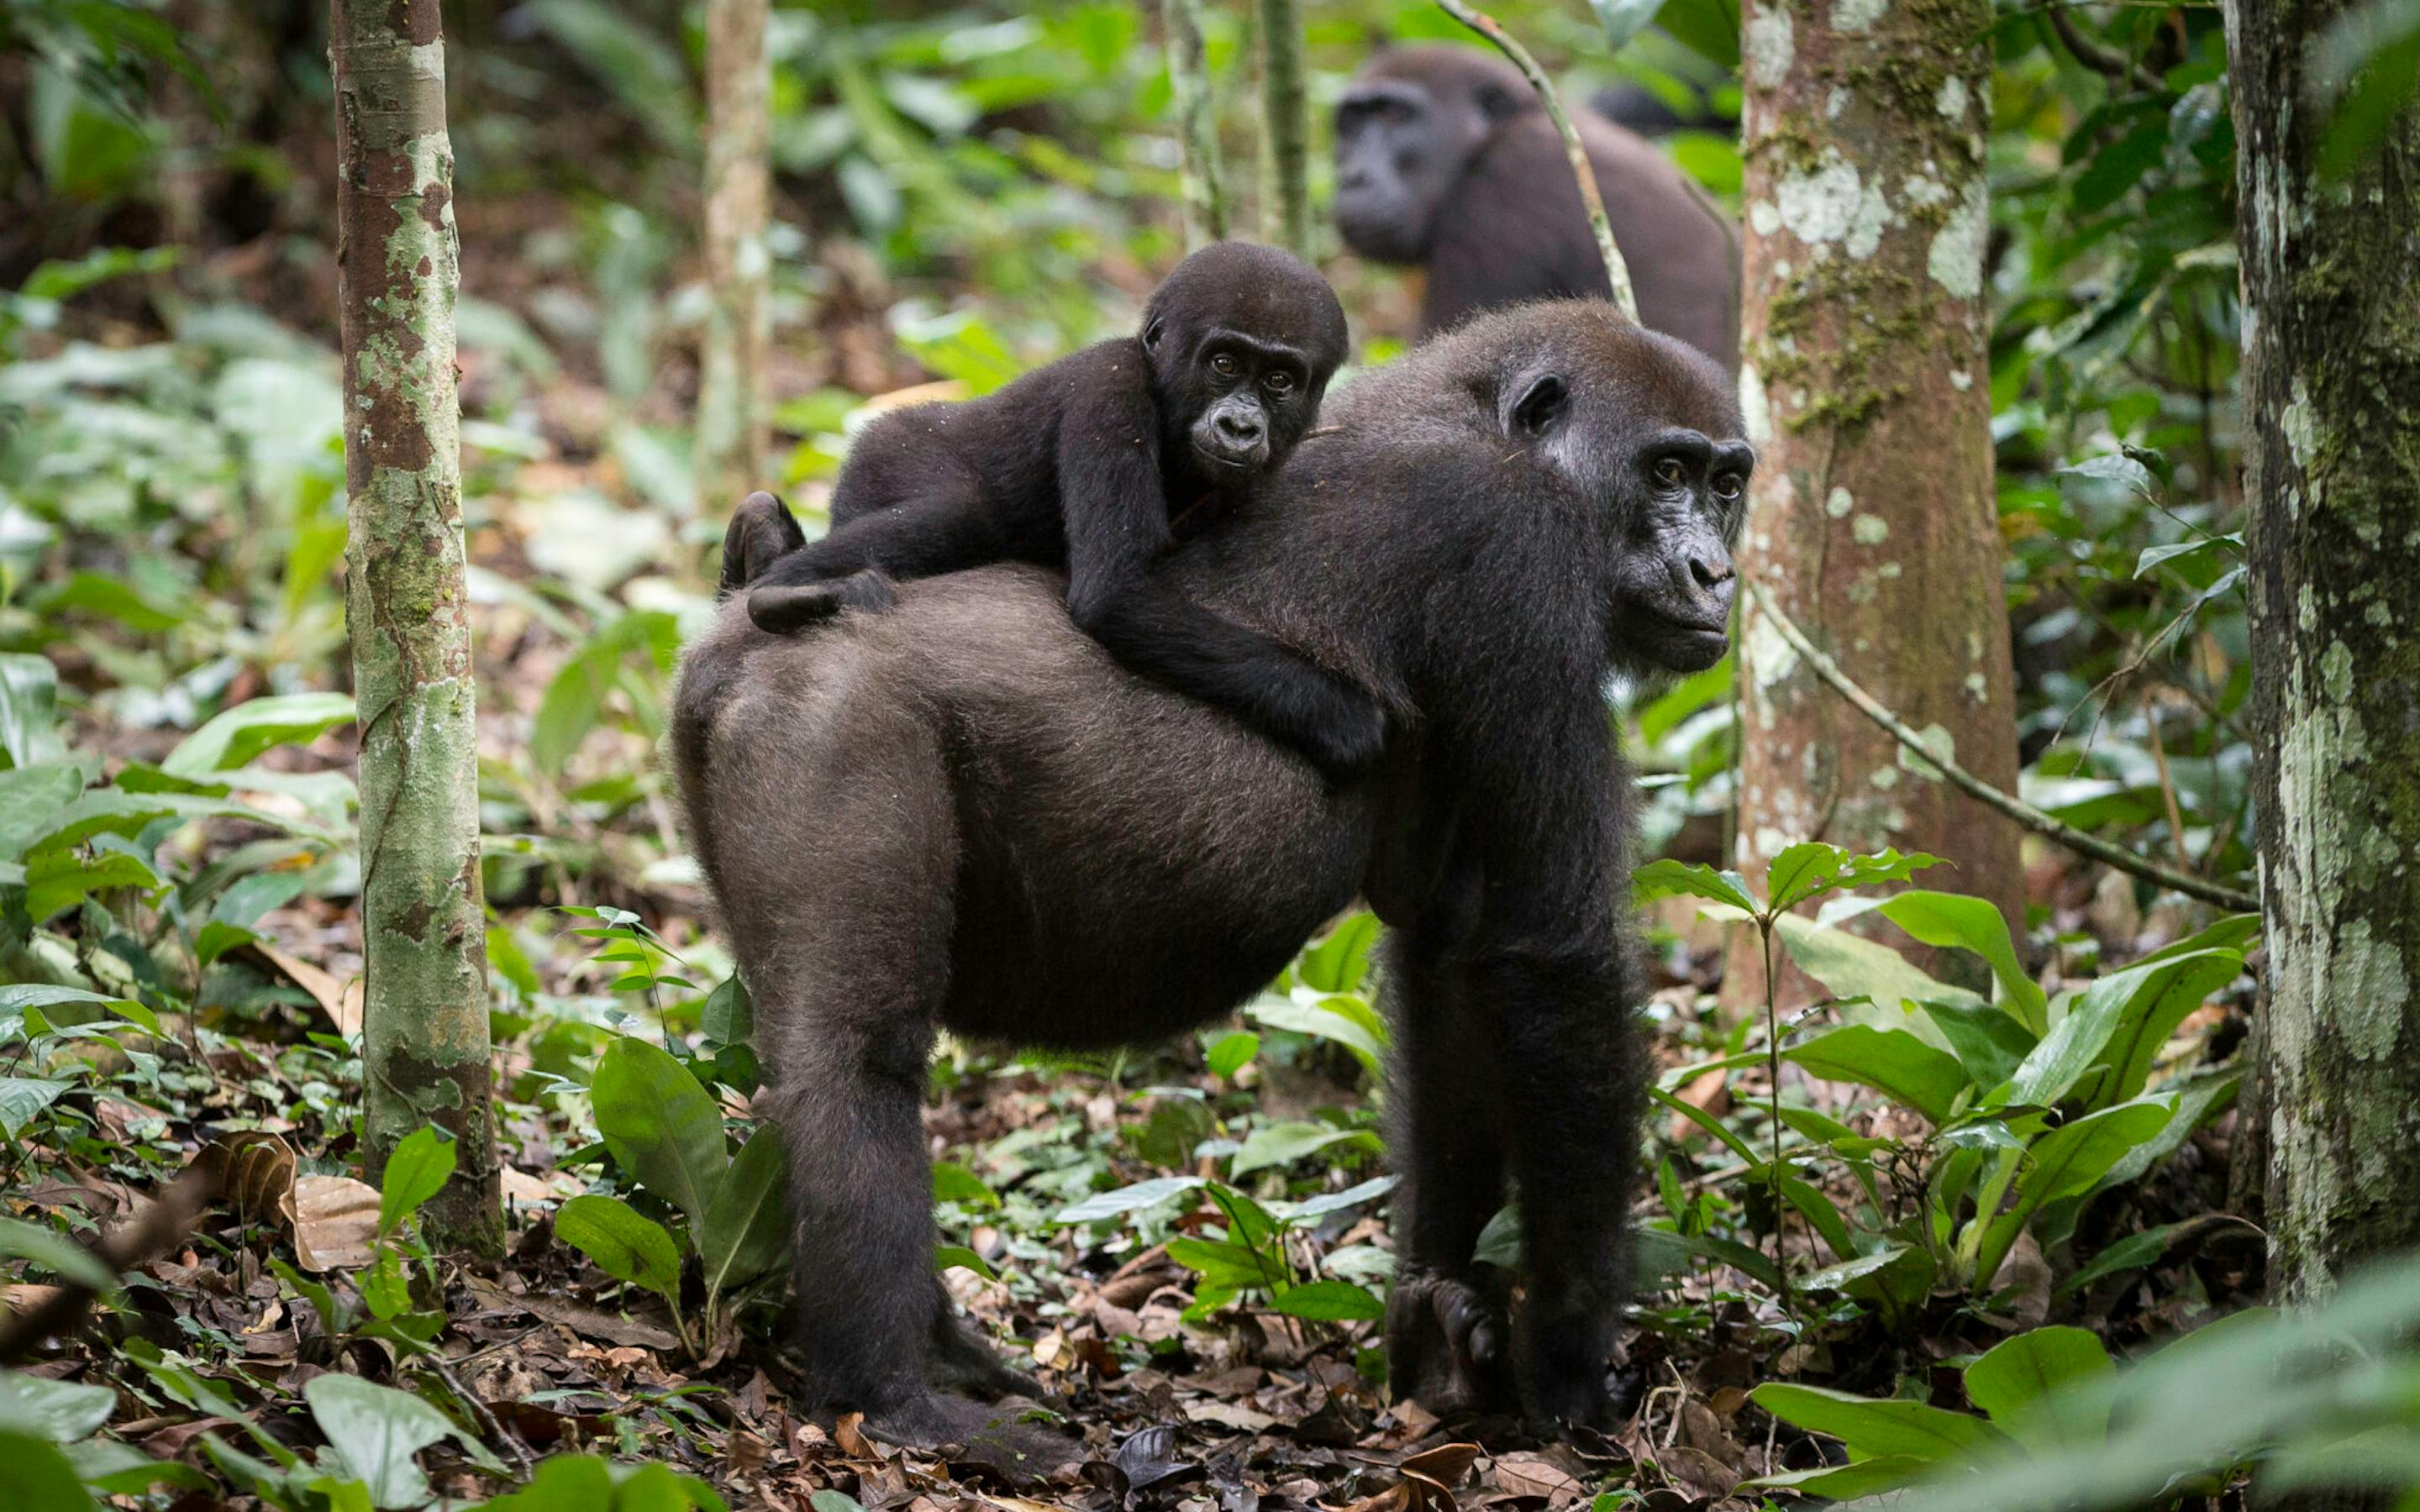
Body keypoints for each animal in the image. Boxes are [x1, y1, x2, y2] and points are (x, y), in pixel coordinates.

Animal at [669, 301, 1750, 1452]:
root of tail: (738, 631)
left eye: (1728, 485)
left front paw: (1439, 1322)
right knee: (855, 1058)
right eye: (1667, 471)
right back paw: (892, 1398)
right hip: (837, 718)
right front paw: (1568, 1359)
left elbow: (1451, 951)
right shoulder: (1521, 553)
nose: (1714, 575)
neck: (1478, 413)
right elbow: (1555, 954)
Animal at [726, 241, 1384, 781]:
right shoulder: (1110, 389)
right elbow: (1117, 594)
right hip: (888, 454)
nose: (1240, 426)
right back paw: (781, 590)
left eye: (1280, 380)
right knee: (959, 512)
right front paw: (1339, 714)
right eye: (1224, 363)